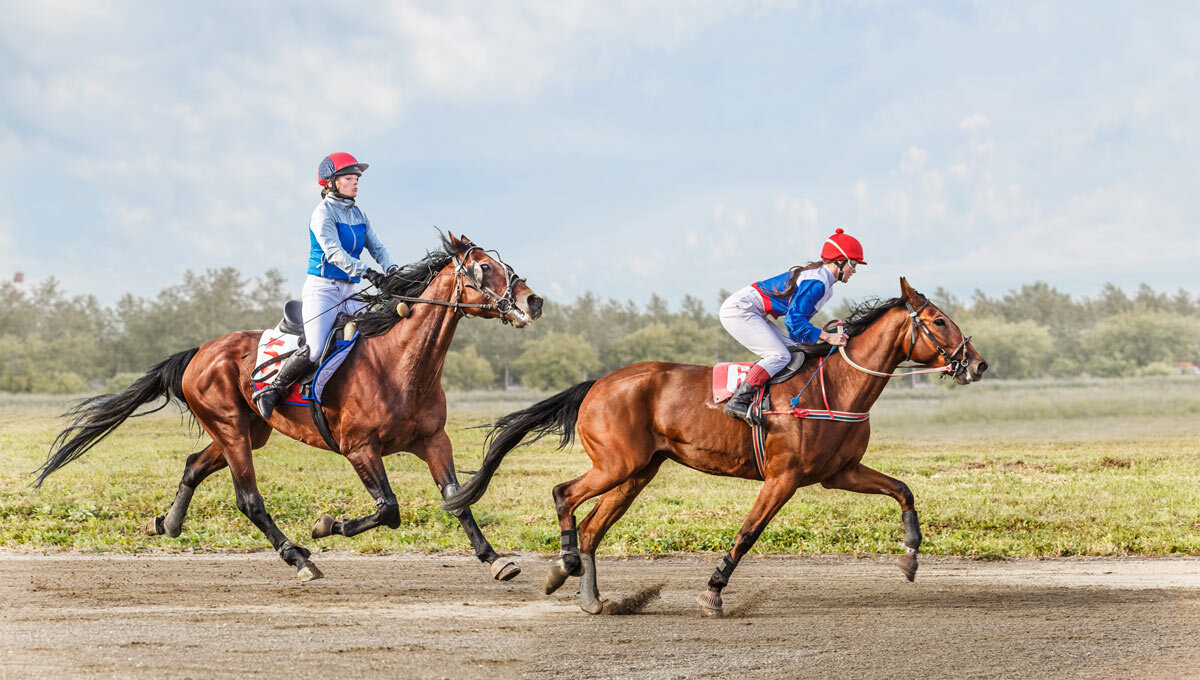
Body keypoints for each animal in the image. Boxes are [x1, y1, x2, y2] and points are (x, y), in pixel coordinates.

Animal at [36, 233, 544, 580]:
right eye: (483, 267)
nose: (533, 300)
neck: (399, 363)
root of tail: (199, 350)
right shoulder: (359, 448)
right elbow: (389, 509)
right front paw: (324, 525)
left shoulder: (433, 441)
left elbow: (457, 499)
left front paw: (494, 559)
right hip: (232, 431)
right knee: (249, 500)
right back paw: (297, 556)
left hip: (246, 431)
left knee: (194, 465)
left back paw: (169, 522)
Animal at [446, 277, 988, 618]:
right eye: (938, 320)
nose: (978, 364)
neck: (834, 387)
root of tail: (598, 382)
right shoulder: (784, 478)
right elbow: (748, 534)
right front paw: (712, 593)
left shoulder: (841, 472)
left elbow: (903, 490)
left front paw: (910, 556)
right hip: (616, 464)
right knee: (565, 495)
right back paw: (564, 565)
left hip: (638, 472)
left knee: (594, 526)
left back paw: (589, 596)